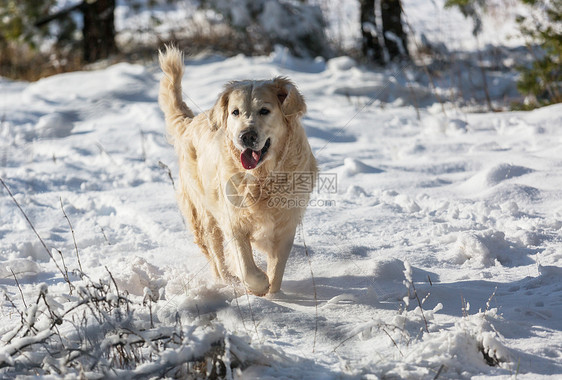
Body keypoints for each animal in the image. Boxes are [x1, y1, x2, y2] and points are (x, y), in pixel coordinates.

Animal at [158, 46, 316, 296]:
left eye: (264, 110)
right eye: (235, 112)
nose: (246, 136)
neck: (262, 178)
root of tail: (191, 121)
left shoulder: (286, 223)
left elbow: (277, 268)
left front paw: (273, 293)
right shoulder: (233, 220)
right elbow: (246, 265)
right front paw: (258, 285)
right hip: (203, 214)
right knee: (215, 255)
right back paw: (227, 279)